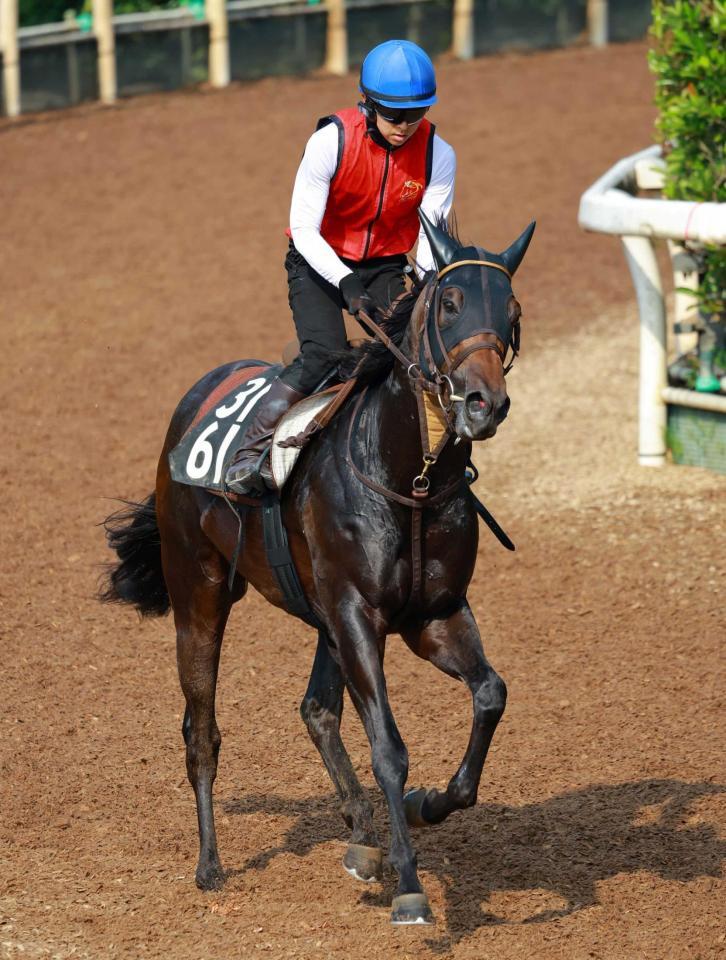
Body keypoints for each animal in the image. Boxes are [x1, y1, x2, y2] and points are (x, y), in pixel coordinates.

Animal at [100, 212, 535, 926]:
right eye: (449, 304)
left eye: (513, 312)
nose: (482, 403)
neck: (409, 481)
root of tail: (198, 391)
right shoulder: (359, 614)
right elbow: (388, 746)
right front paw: (410, 885)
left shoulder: (433, 616)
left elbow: (491, 694)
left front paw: (427, 805)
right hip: (201, 591)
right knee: (201, 729)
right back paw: (211, 865)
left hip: (322, 616)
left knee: (316, 711)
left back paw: (361, 834)